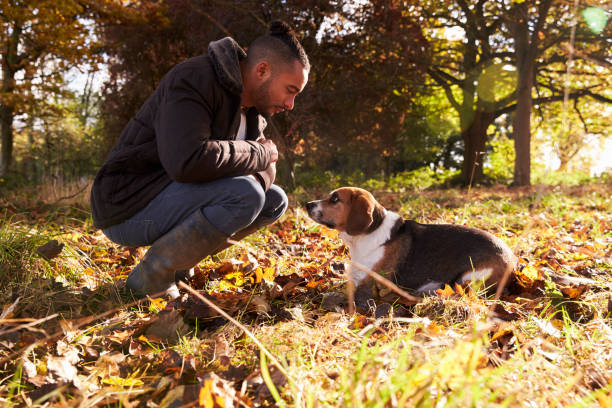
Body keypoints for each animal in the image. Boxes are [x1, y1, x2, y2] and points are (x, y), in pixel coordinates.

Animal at [306, 187, 516, 310]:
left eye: (335, 199)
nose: (307, 204)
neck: (367, 234)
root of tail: (512, 261)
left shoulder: (369, 282)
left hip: (469, 278)